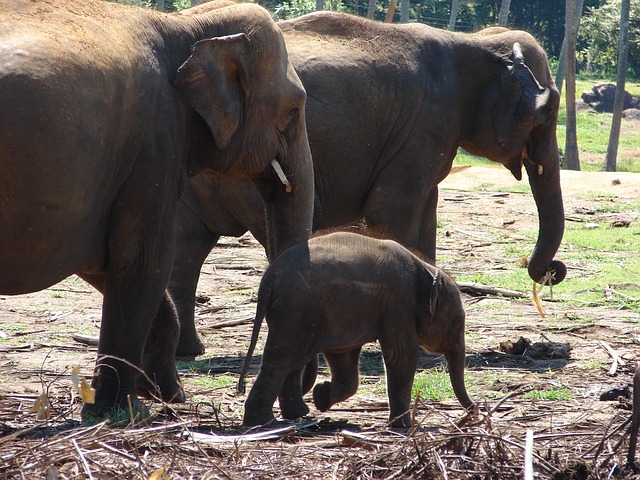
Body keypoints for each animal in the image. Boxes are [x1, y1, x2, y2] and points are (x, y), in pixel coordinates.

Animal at [0, 0, 316, 420]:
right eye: (294, 110)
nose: (304, 410)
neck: (185, 25)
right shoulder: (154, 144)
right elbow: (141, 260)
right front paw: (127, 410)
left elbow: (101, 261)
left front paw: (163, 392)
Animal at [172, 10, 568, 356]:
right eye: (549, 111)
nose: (551, 271)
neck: (476, 42)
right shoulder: (425, 127)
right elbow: (392, 214)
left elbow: (426, 217)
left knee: (189, 244)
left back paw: (191, 349)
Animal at [238, 232, 472, 428]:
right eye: (458, 323)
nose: (475, 411)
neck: (425, 270)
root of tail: (268, 280)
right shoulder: (398, 303)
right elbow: (401, 354)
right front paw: (403, 426)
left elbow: (343, 355)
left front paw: (321, 396)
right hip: (295, 309)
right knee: (282, 358)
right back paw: (263, 422)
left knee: (294, 358)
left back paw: (297, 414)